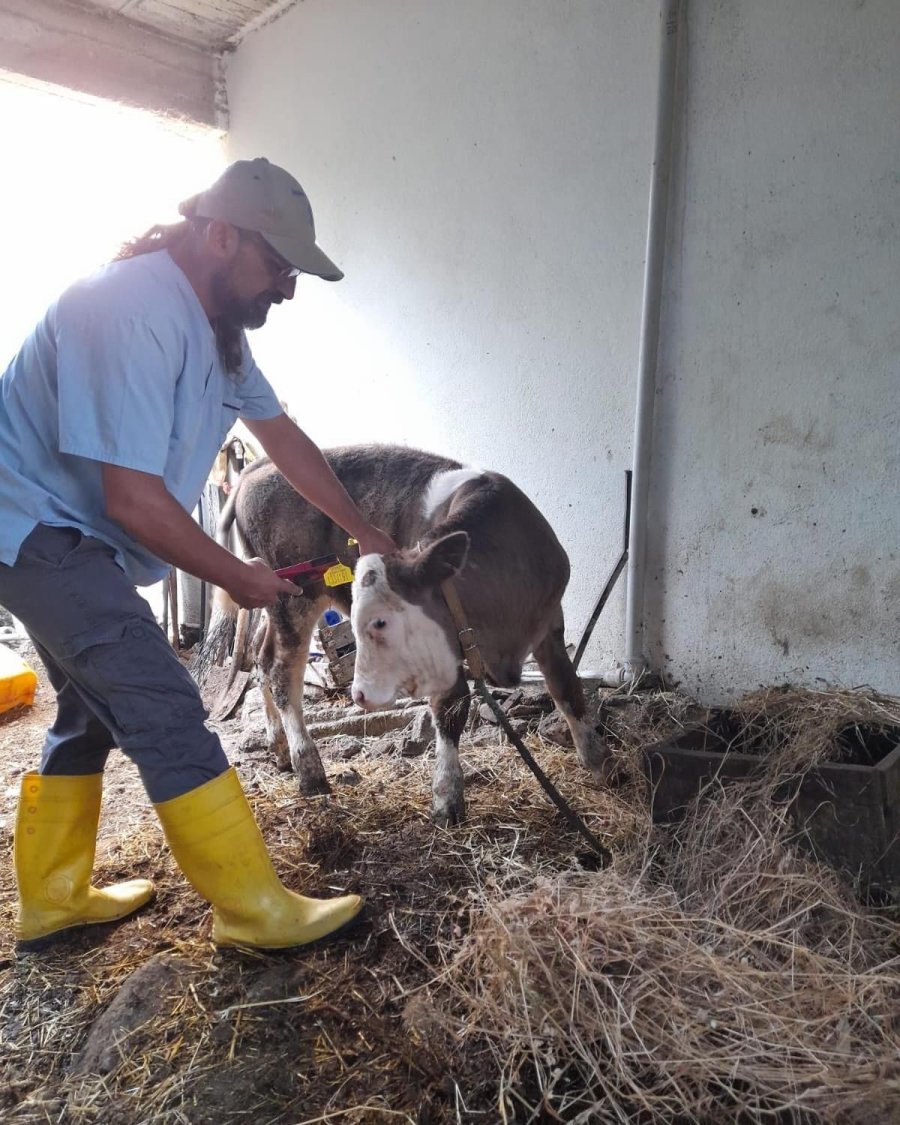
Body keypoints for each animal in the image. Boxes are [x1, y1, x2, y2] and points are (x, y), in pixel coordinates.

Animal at [218, 441, 612, 828]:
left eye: (381, 623)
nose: (359, 695)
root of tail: (256, 468)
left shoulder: (551, 622)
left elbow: (567, 688)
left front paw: (599, 761)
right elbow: (451, 710)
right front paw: (447, 798)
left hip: (276, 599)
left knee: (261, 657)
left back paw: (279, 747)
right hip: (293, 599)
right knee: (281, 672)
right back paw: (309, 768)